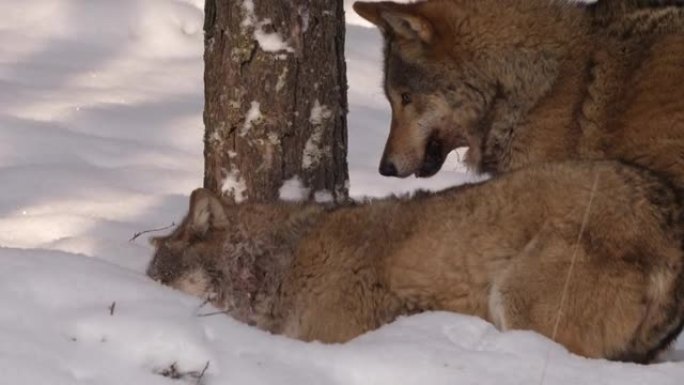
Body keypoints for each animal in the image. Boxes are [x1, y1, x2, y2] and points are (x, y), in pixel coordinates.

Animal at [147, 160, 680, 364]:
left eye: (157, 279)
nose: (142, 291)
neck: (281, 260)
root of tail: (666, 224)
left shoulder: (333, 335)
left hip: (514, 299)